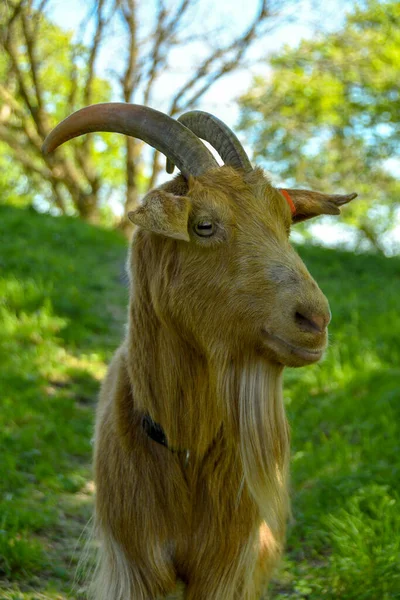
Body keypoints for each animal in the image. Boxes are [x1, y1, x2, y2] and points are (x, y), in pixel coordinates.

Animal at [43, 105, 356, 596]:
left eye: (285, 224)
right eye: (203, 225)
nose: (314, 321)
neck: (186, 445)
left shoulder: (227, 567)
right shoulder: (135, 563)